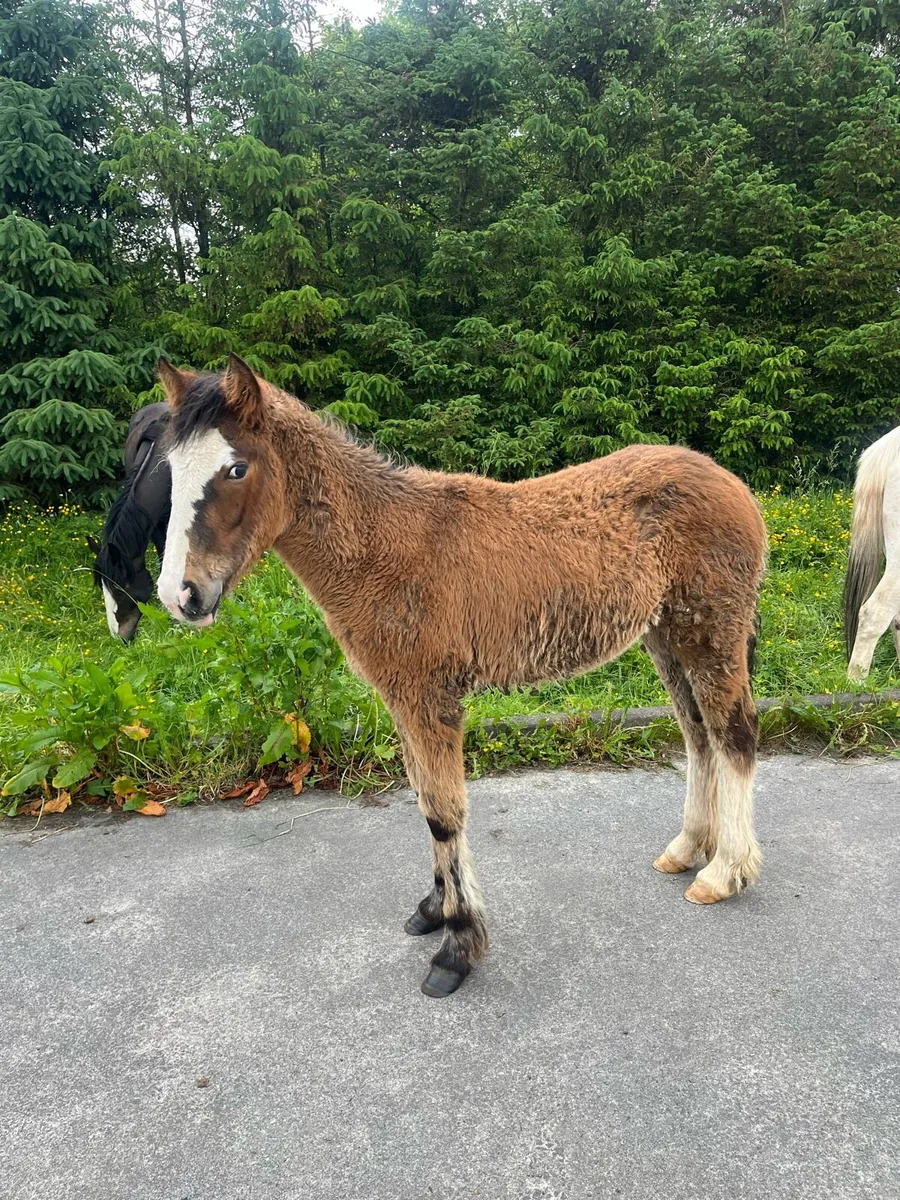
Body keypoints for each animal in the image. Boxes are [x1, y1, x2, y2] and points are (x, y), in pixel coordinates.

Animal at [155, 354, 767, 998]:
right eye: (172, 468)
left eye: (236, 468)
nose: (179, 595)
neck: (383, 548)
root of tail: (733, 484)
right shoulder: (402, 698)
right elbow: (426, 800)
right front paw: (434, 909)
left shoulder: (430, 698)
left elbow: (443, 814)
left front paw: (457, 945)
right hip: (666, 635)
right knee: (698, 735)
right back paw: (689, 848)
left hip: (710, 632)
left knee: (734, 736)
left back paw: (724, 872)